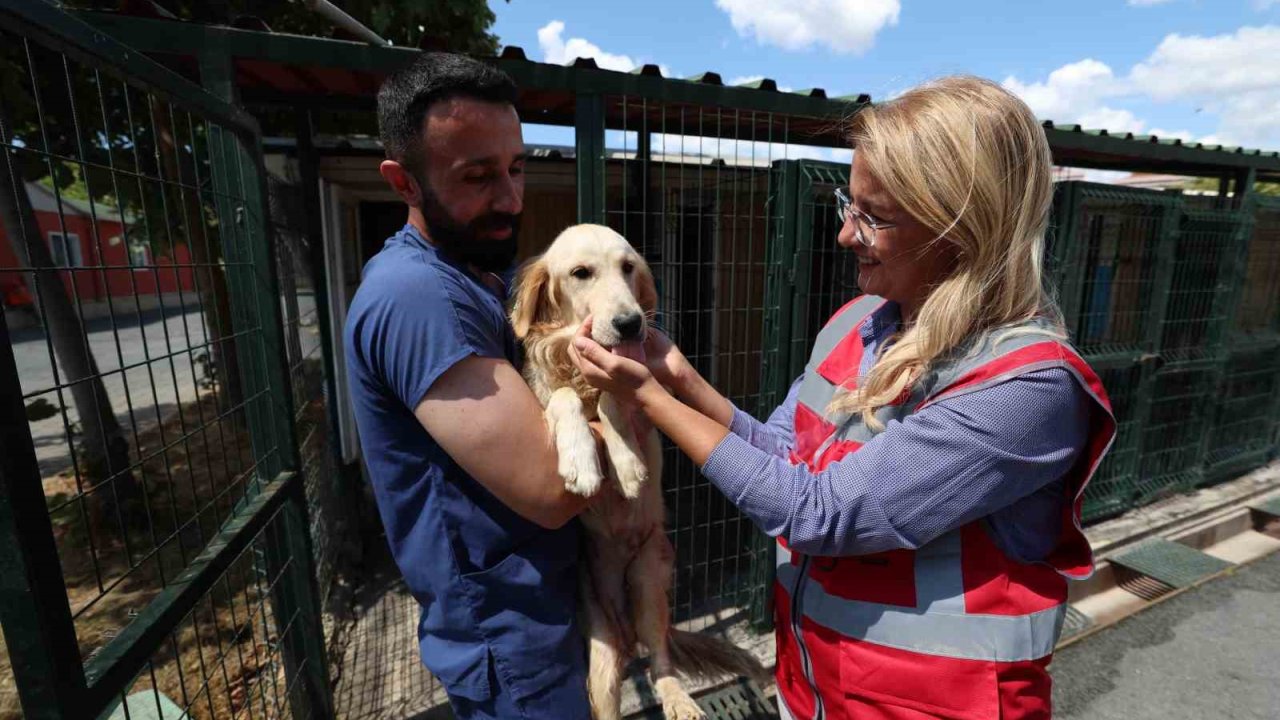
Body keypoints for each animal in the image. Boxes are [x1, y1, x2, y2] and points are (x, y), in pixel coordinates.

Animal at [509, 224, 762, 717]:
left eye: (628, 267)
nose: (630, 323)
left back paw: (679, 700)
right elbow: (563, 399)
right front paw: (582, 462)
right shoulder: (542, 400)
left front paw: (626, 465)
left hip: (648, 581)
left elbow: (616, 397)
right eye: (581, 273)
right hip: (602, 655)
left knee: (661, 661)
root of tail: (626, 631)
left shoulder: (640, 402)